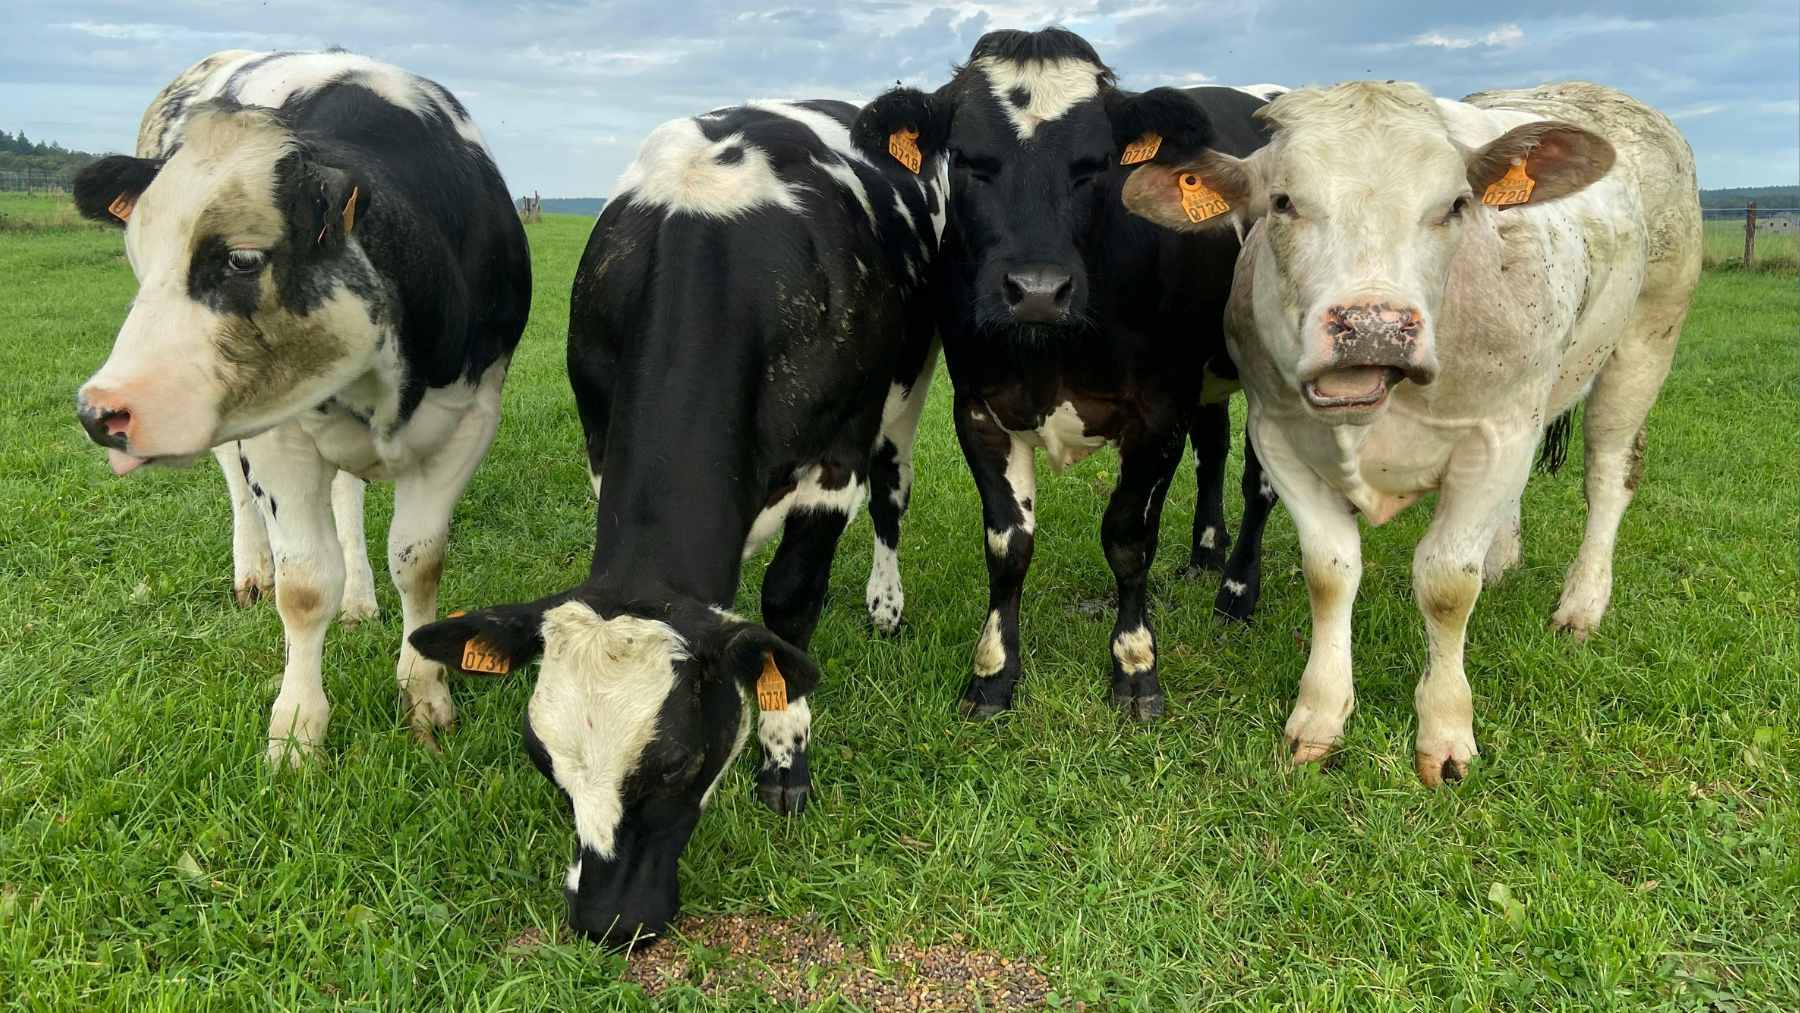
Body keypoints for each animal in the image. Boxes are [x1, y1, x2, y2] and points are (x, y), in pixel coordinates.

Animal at [71, 50, 532, 765]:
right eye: (143, 256)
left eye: (241, 258)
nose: (99, 412)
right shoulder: (276, 437)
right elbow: (308, 584)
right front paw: (296, 731)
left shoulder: (469, 420)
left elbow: (419, 563)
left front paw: (424, 694)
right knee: (239, 487)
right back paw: (252, 572)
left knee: (347, 499)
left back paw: (361, 597)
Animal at [404, 98, 944, 946]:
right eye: (544, 762)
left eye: (680, 765)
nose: (606, 919)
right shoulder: (601, 440)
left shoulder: (835, 460)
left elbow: (790, 605)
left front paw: (785, 754)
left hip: (909, 387)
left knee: (894, 489)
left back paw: (885, 603)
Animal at [850, 28, 1279, 721]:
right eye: (967, 159)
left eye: (1096, 164)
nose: (1036, 290)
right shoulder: (980, 409)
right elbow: (1008, 545)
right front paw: (993, 673)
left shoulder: (1156, 413)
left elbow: (1129, 539)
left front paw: (1135, 666)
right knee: (1213, 449)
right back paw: (1205, 557)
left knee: (1258, 482)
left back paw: (1238, 590)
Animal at [1123, 81, 1701, 784]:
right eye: (1283, 201)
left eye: (1455, 205)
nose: (1373, 327)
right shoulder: (1278, 435)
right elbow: (1330, 572)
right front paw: (1320, 715)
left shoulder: (1498, 431)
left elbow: (1448, 583)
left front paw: (1446, 729)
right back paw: (1502, 558)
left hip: (1646, 339)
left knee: (1609, 474)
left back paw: (1582, 604)